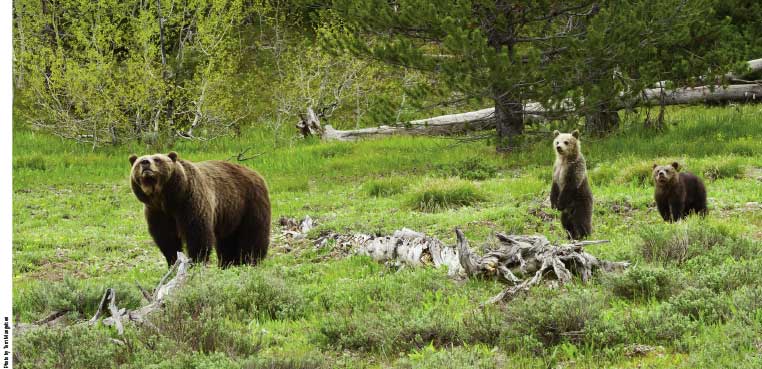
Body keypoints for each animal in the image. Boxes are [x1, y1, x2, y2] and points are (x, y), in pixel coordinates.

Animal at [130, 151, 270, 266]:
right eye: (139, 161)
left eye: (157, 159)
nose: (145, 162)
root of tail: (255, 173)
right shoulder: (156, 211)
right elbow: (166, 237)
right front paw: (173, 262)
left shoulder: (190, 202)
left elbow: (197, 232)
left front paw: (196, 261)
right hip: (230, 212)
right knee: (227, 239)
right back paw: (228, 263)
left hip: (250, 201)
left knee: (253, 233)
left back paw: (251, 260)